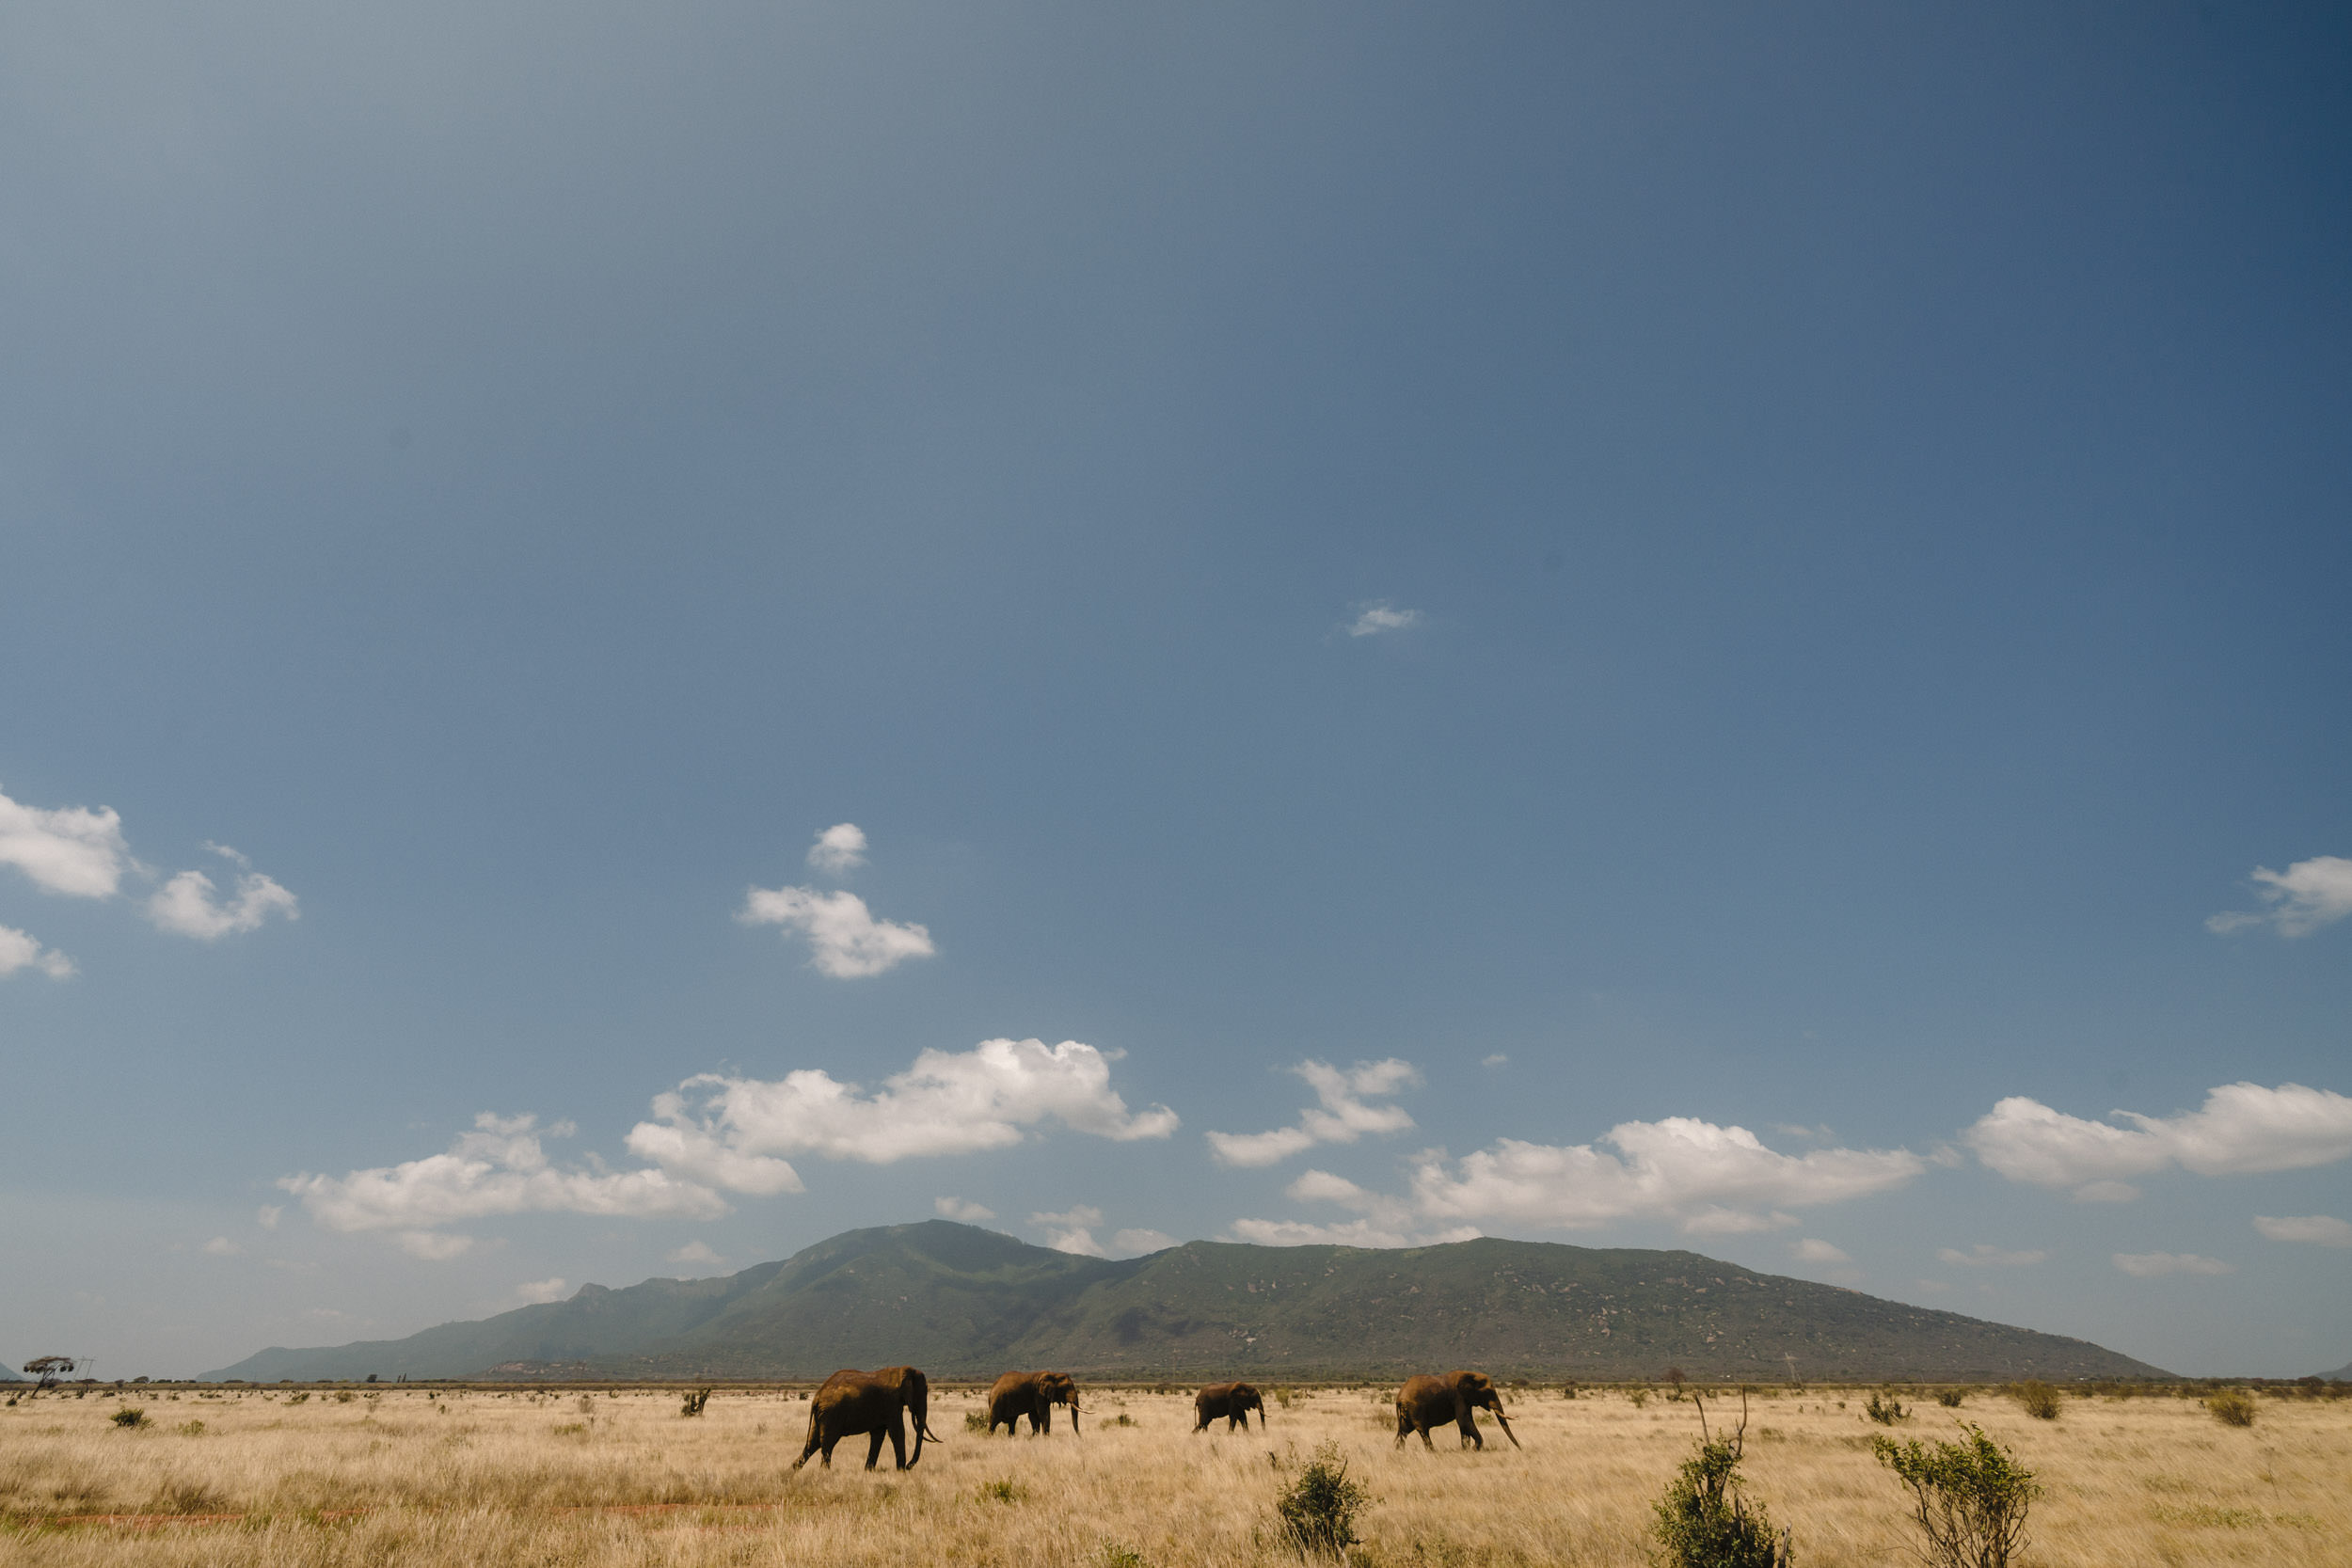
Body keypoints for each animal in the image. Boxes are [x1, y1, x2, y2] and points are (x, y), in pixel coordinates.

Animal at [790, 1363, 936, 1476]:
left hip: (821, 1415)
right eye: (923, 1392)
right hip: (831, 1414)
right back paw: (824, 1473)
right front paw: (901, 1472)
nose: (908, 1466)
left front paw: (868, 1471)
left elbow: (878, 1435)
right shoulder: (892, 1403)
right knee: (827, 1442)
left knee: (813, 1443)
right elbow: (897, 1432)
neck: (901, 1370)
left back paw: (793, 1471)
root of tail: (817, 1397)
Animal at [1392, 1372, 1524, 1457]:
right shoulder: (1459, 1397)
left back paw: (1399, 1452)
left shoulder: (1466, 1399)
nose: (1521, 1449)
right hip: (1415, 1409)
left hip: (1408, 1412)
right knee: (1423, 1430)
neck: (1471, 1375)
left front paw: (1465, 1450)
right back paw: (1433, 1453)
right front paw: (1474, 1450)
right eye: (1489, 1392)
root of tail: (1399, 1397)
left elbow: (1464, 1424)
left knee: (1404, 1431)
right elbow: (1464, 1420)